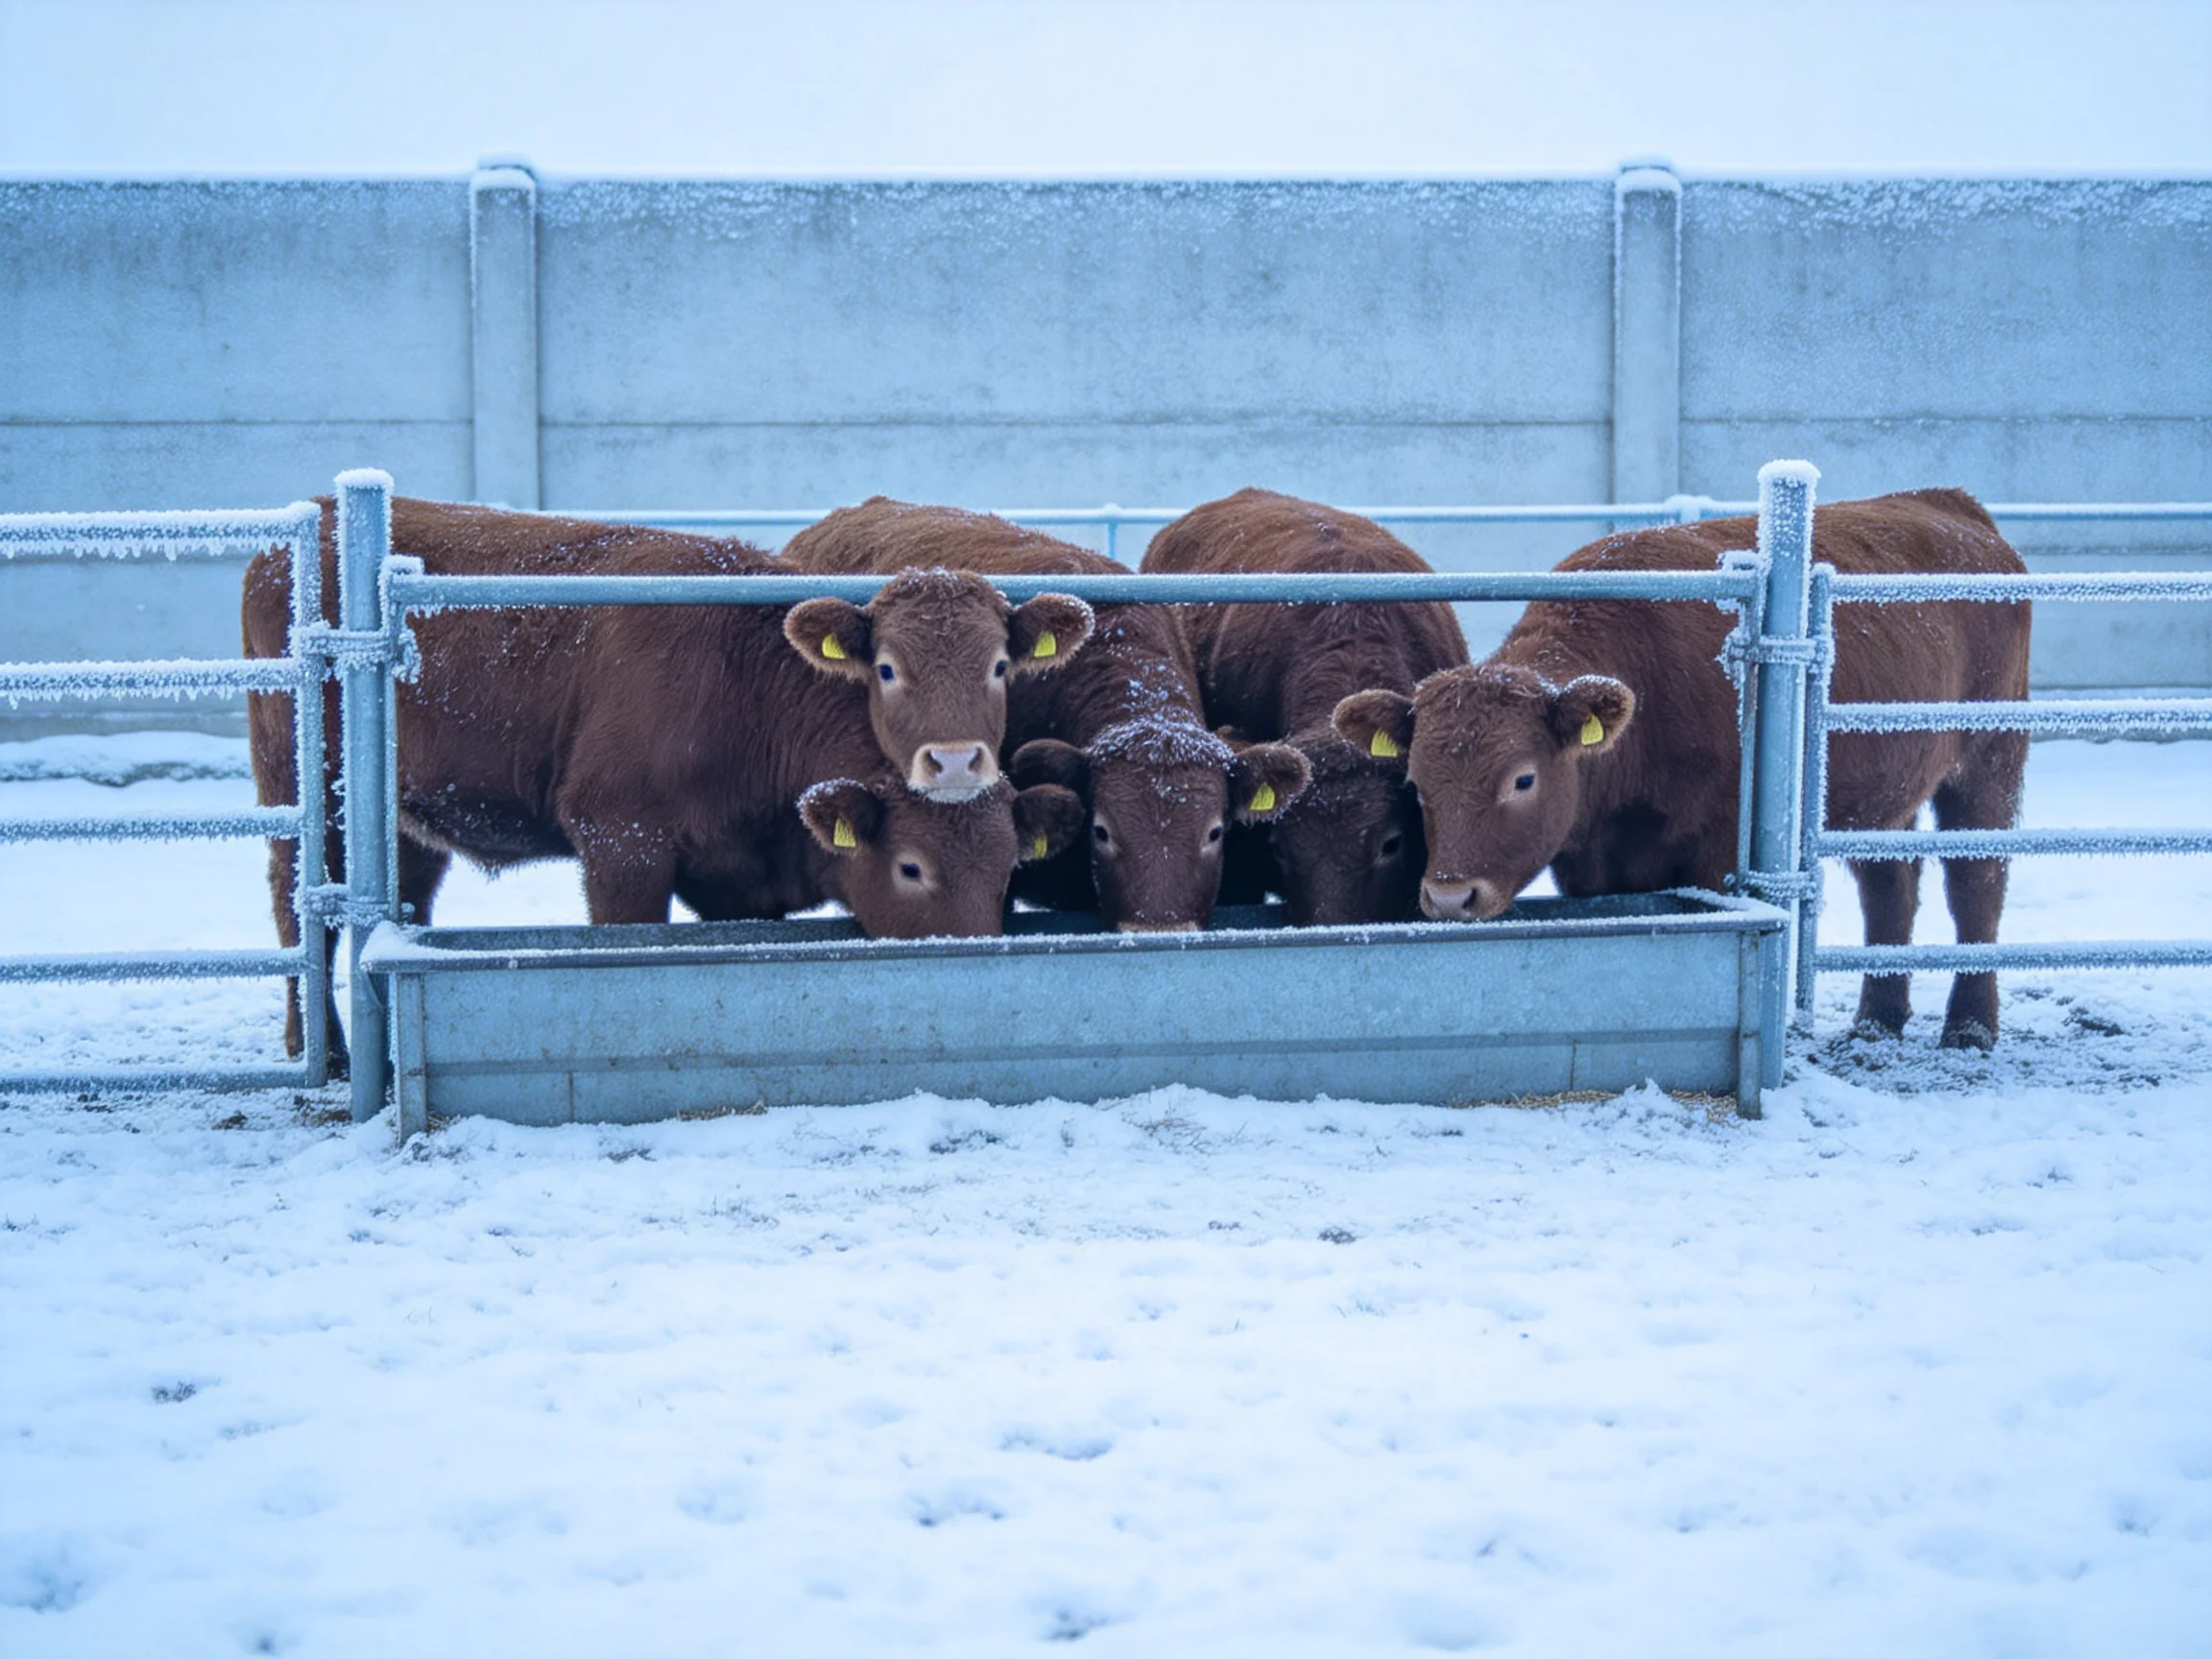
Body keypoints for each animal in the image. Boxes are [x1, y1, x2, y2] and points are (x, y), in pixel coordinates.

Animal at [244, 498, 1088, 1065]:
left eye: (1010, 870)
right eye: (912, 869)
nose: (977, 958)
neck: (741, 687)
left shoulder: (740, 883)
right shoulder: (621, 842)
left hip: (406, 818)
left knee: (406, 898)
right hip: (300, 792)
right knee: (298, 912)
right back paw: (320, 1048)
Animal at [1332, 489, 2032, 1048]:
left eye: (1522, 779)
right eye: (1417, 784)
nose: (1451, 895)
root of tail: (1952, 506)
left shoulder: (1716, 851)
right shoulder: (1588, 868)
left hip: (1988, 761)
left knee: (1977, 885)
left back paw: (1970, 1025)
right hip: (1885, 794)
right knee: (1892, 888)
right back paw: (1876, 1021)